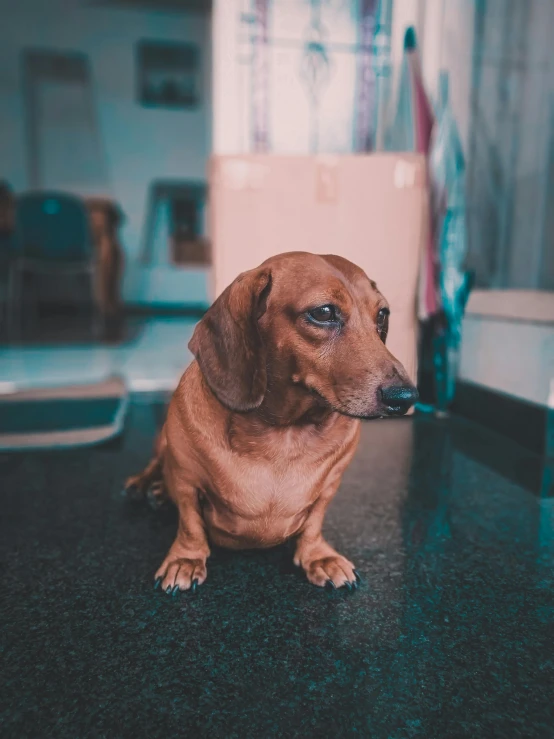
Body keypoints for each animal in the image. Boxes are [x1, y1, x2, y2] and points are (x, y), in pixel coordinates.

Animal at [125, 254, 416, 596]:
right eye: (324, 312)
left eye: (382, 314)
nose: (405, 396)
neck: (284, 435)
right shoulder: (185, 479)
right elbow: (190, 523)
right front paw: (186, 558)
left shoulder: (331, 484)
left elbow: (314, 522)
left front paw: (319, 557)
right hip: (164, 443)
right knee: (158, 463)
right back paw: (147, 485)